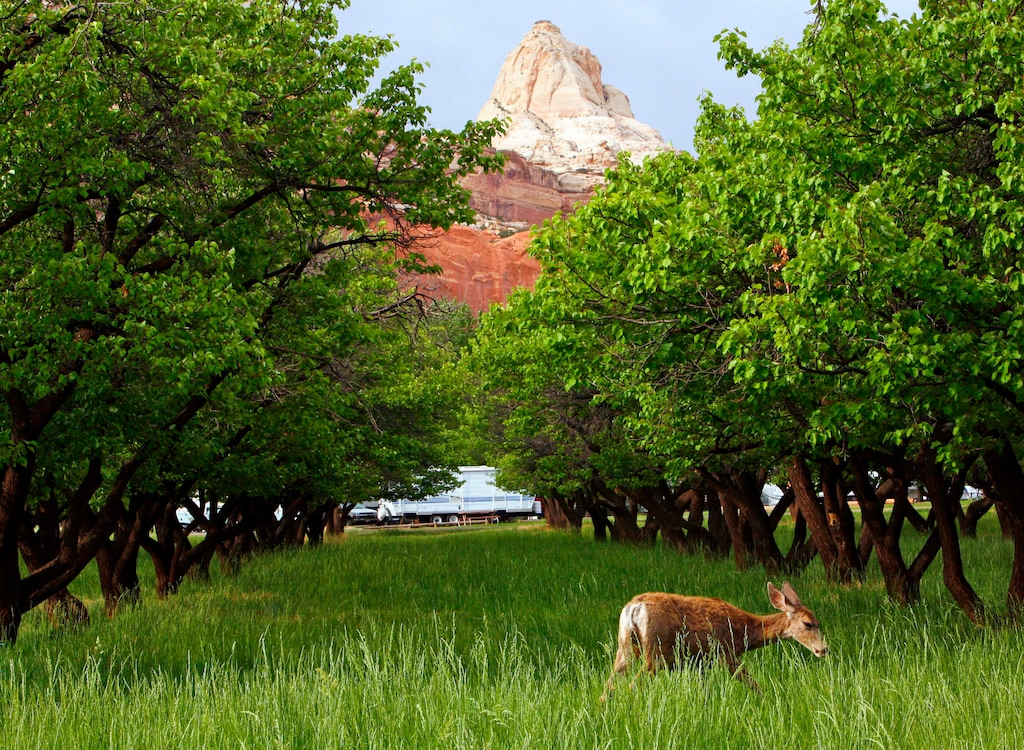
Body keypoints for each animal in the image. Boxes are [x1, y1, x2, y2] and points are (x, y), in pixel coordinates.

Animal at [604, 581, 827, 696]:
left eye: (818, 620)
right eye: (808, 623)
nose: (823, 649)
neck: (743, 631)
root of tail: (634, 608)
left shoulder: (700, 663)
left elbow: (705, 691)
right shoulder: (725, 651)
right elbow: (751, 682)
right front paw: (771, 700)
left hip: (625, 647)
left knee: (609, 686)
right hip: (656, 651)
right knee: (633, 685)